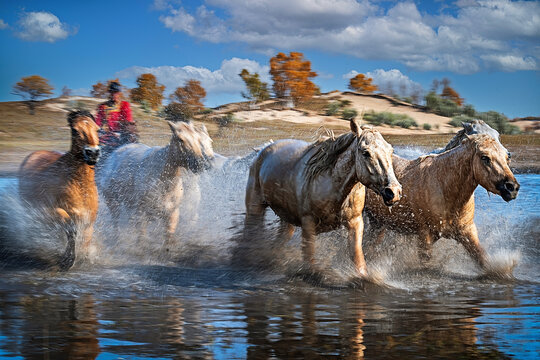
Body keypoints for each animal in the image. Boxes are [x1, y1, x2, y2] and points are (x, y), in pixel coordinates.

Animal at [18, 110, 101, 270]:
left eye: (98, 129)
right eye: (75, 130)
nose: (93, 153)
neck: (80, 187)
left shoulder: (89, 220)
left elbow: (86, 238)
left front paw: (84, 257)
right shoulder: (54, 211)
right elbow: (71, 230)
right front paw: (67, 260)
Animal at [243, 119, 402, 280]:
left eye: (390, 151)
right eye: (366, 152)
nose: (393, 192)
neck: (333, 186)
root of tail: (263, 150)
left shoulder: (355, 222)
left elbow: (358, 261)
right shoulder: (308, 223)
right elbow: (309, 260)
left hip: (287, 221)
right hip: (255, 208)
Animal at [362, 135, 520, 276]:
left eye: (507, 157)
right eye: (485, 157)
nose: (512, 187)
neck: (445, 189)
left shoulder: (467, 231)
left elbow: (483, 259)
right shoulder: (425, 236)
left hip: (379, 224)